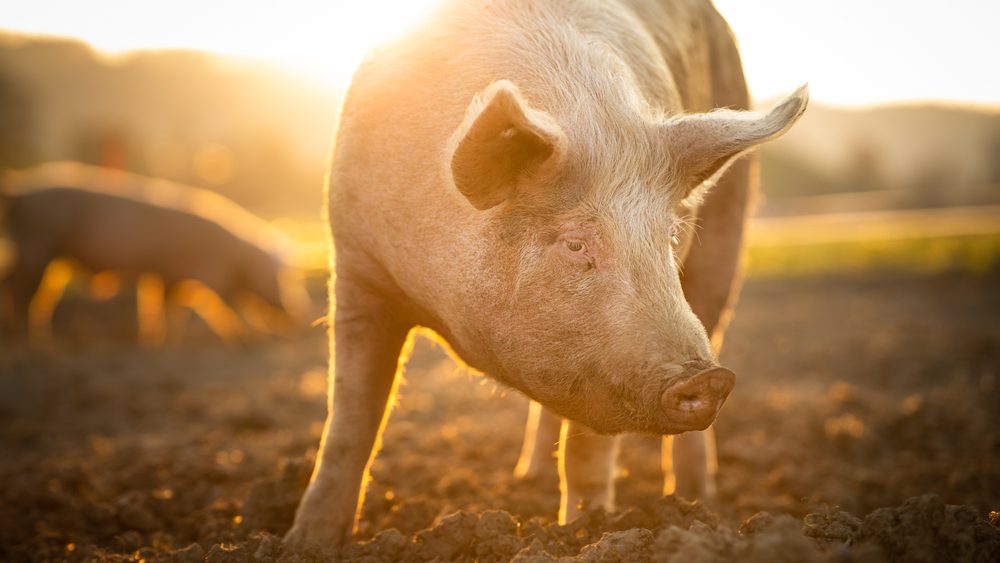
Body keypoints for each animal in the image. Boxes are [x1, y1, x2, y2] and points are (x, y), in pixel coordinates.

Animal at [0, 162, 309, 343]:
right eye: (281, 278)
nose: (298, 315)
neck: (235, 257)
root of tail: (20, 192)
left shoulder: (168, 274)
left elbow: (167, 304)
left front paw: (161, 337)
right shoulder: (202, 273)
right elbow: (226, 303)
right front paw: (249, 335)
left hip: (38, 250)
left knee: (14, 282)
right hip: (37, 245)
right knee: (24, 288)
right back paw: (32, 337)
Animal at [285, 0, 806, 548]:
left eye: (668, 237)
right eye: (575, 243)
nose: (708, 379)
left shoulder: (600, 363)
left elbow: (589, 447)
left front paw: (585, 531)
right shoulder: (357, 265)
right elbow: (351, 419)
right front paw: (306, 542)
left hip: (727, 238)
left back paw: (695, 501)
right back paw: (528, 477)